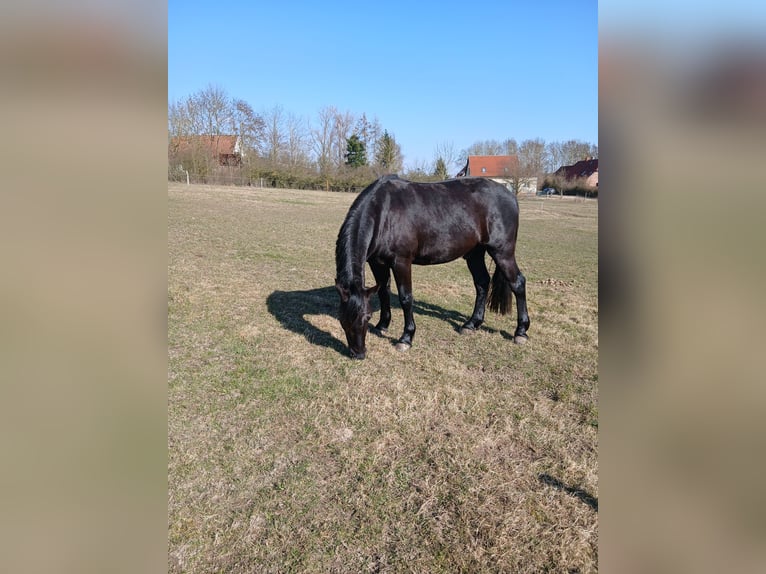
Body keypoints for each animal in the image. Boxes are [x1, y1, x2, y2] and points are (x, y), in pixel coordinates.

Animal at [335, 174, 530, 359]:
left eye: (366, 317)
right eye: (342, 319)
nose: (358, 353)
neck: (383, 213)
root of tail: (510, 195)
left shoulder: (401, 262)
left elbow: (406, 298)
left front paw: (406, 338)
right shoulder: (377, 263)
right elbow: (383, 292)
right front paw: (382, 325)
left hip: (502, 252)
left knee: (518, 283)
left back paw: (520, 332)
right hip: (475, 254)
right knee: (482, 283)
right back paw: (471, 324)